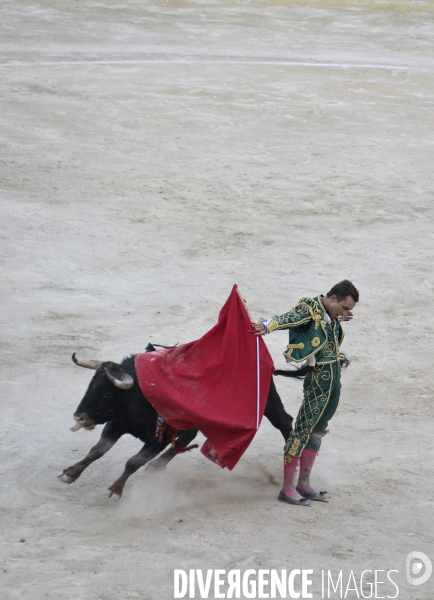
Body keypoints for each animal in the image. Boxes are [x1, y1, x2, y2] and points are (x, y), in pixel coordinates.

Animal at [58, 346, 308, 496]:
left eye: (108, 394)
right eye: (91, 385)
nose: (79, 417)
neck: (140, 394)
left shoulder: (158, 438)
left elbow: (133, 461)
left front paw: (117, 488)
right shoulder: (117, 425)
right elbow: (97, 450)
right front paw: (70, 473)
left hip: (267, 403)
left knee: (285, 422)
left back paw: (292, 468)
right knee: (188, 436)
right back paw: (158, 465)